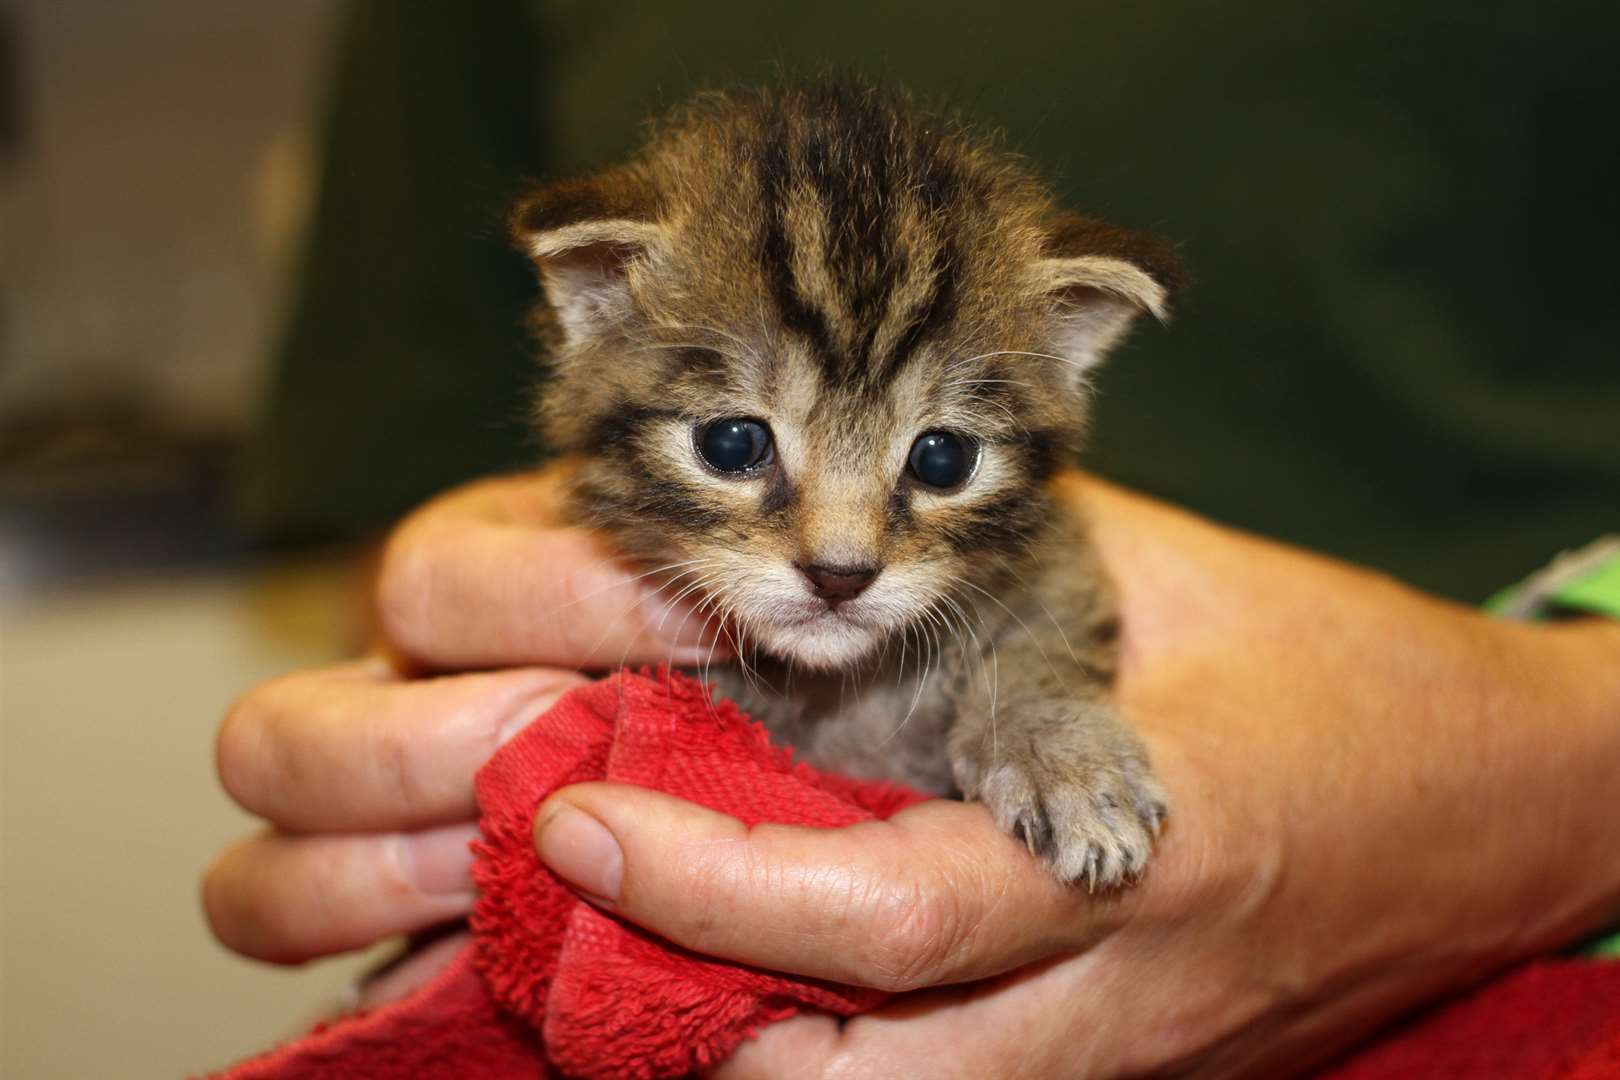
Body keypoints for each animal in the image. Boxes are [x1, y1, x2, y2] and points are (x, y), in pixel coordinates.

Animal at [515, 80, 1179, 880]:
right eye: (732, 444)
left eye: (943, 459)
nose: (839, 575)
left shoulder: (1056, 550)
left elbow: (1045, 628)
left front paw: (1068, 760)